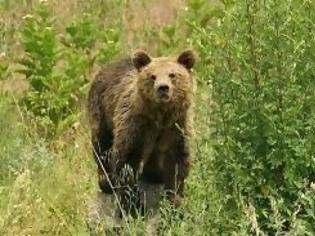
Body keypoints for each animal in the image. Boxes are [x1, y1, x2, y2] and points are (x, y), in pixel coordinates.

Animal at [89, 48, 196, 215]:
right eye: (152, 76)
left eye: (172, 74)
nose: (163, 88)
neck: (160, 116)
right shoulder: (136, 125)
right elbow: (126, 162)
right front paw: (133, 207)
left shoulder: (176, 127)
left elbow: (177, 164)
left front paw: (175, 201)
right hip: (102, 111)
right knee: (102, 144)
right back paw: (106, 181)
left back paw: (154, 175)